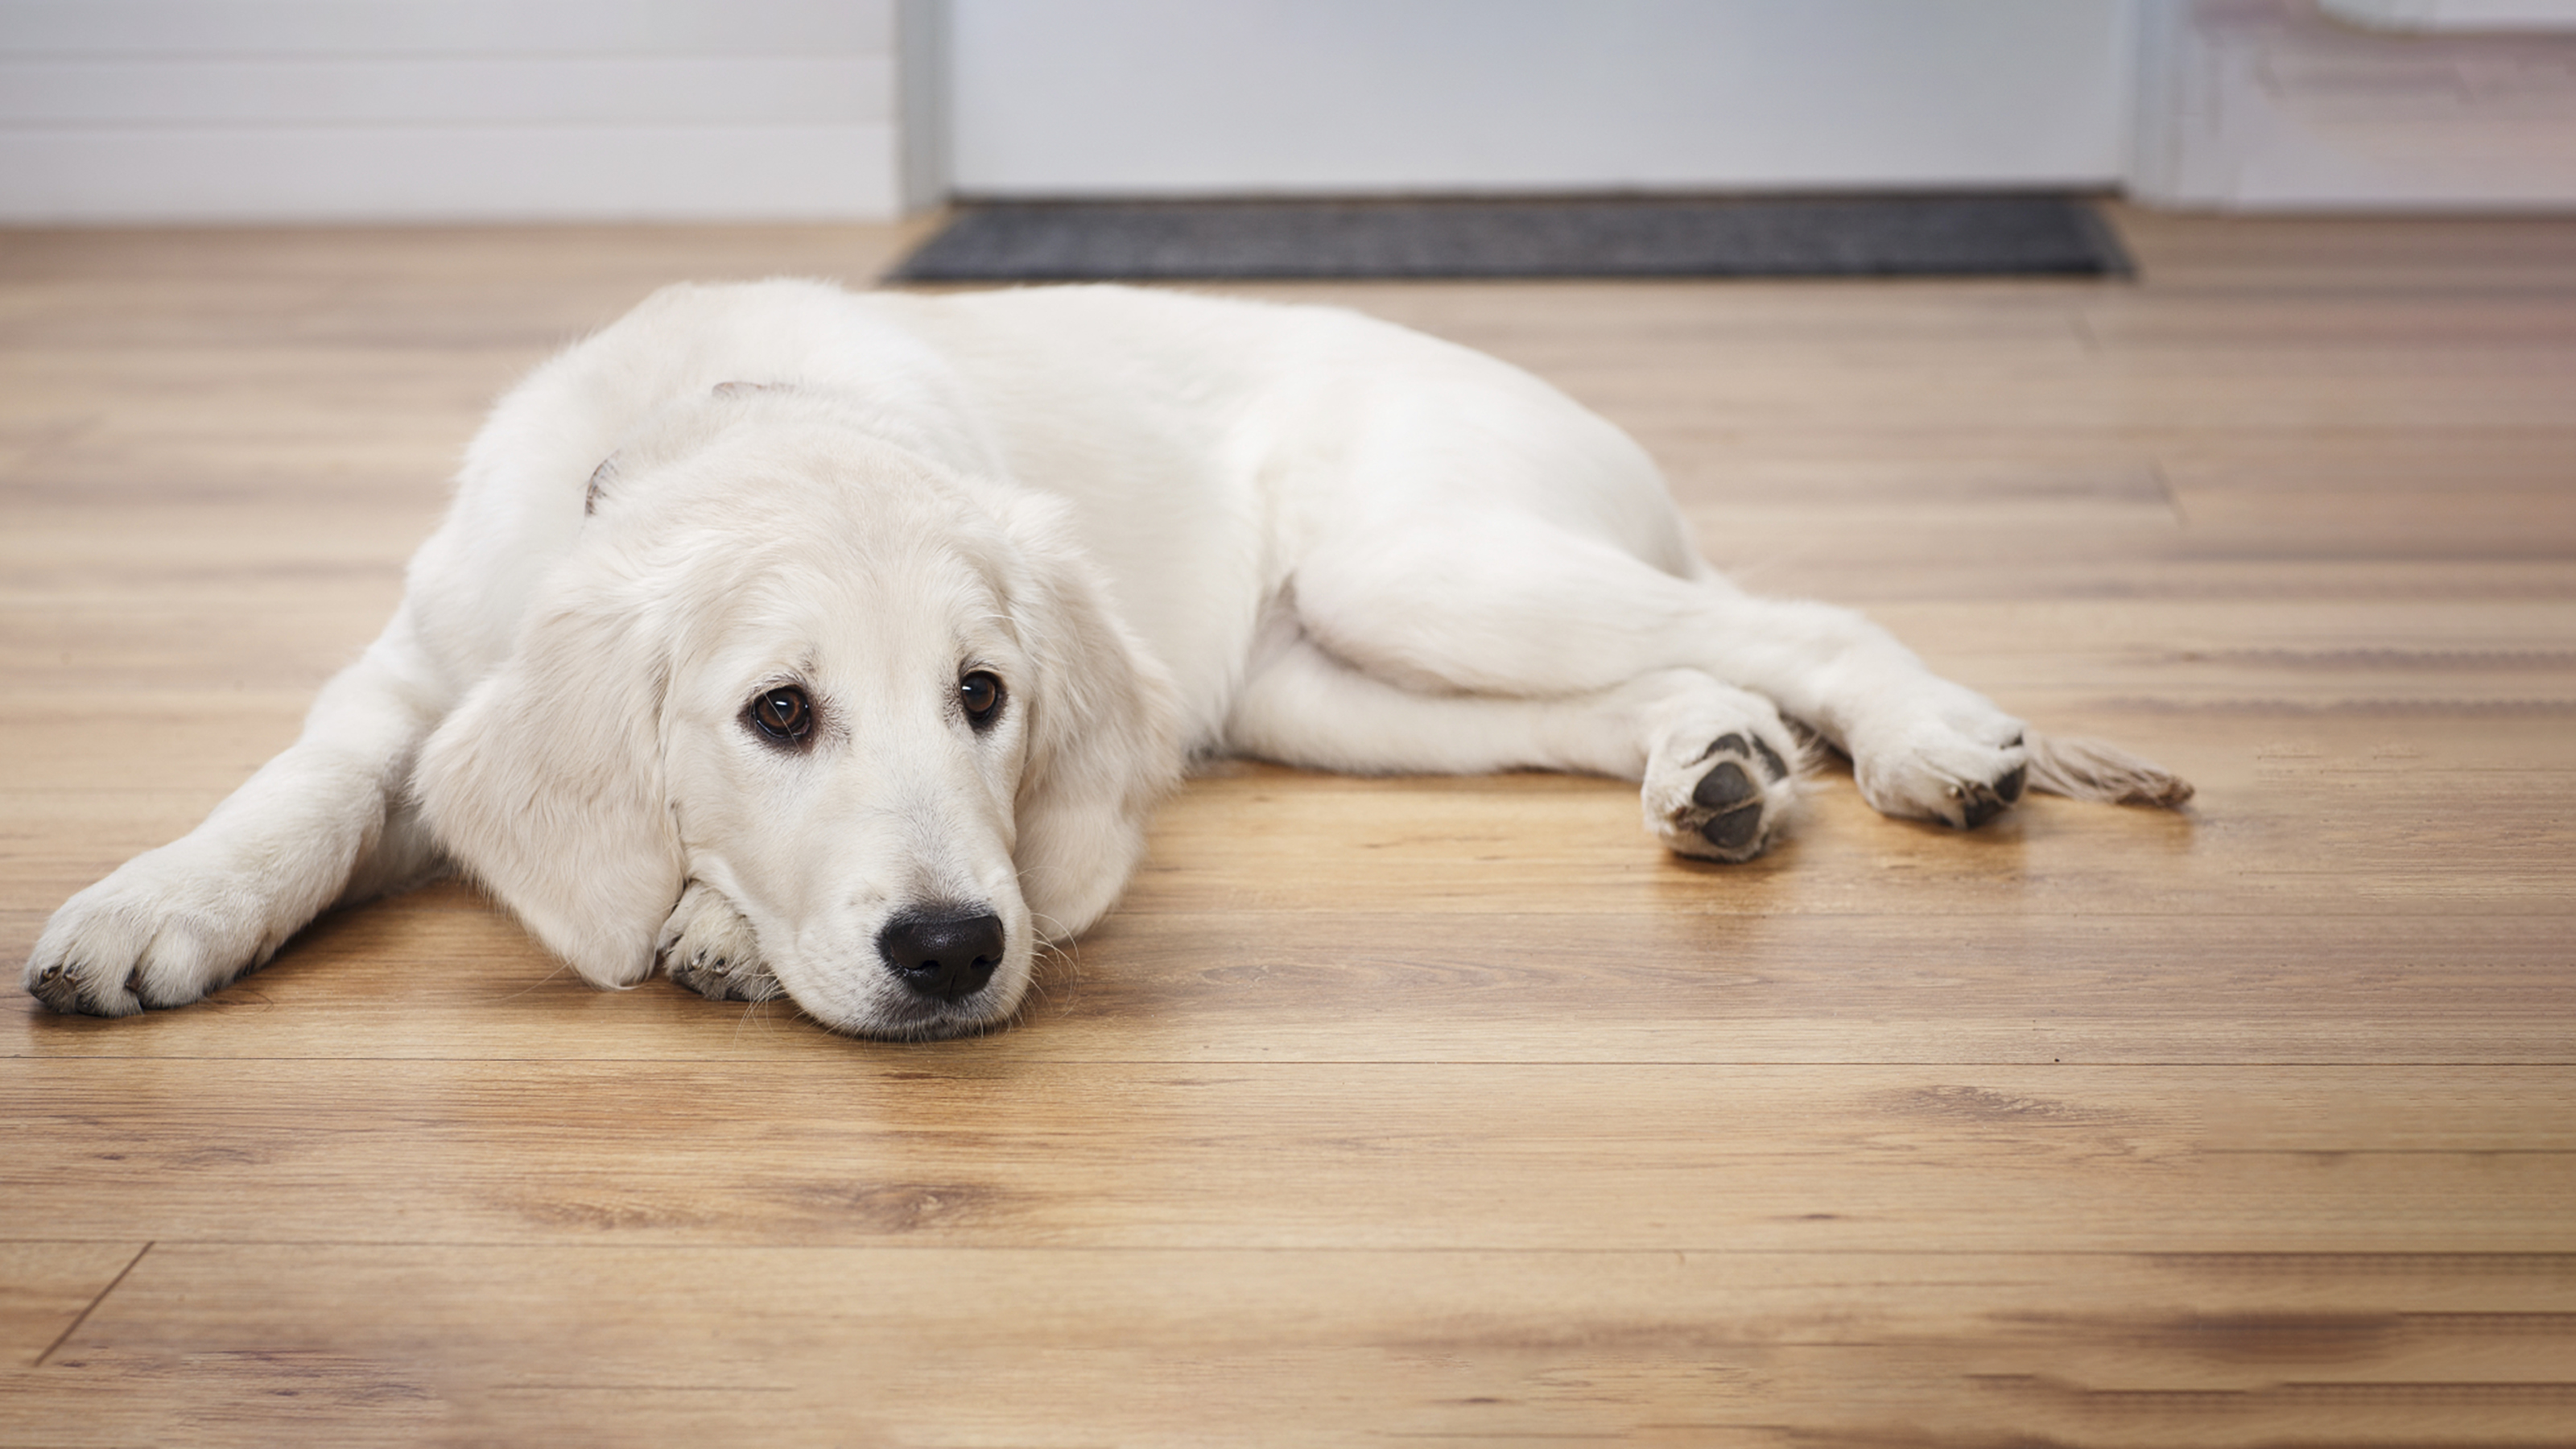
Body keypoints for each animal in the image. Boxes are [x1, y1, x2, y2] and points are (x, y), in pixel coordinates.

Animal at [30, 275, 2184, 1031]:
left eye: (984, 700)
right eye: (778, 714)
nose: (953, 951)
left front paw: (715, 927)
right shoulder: (408, 674)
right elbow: (300, 792)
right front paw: (156, 904)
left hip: (1424, 563)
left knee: (1792, 620)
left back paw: (1927, 742)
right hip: (1338, 686)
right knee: (1667, 685)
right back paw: (1717, 771)